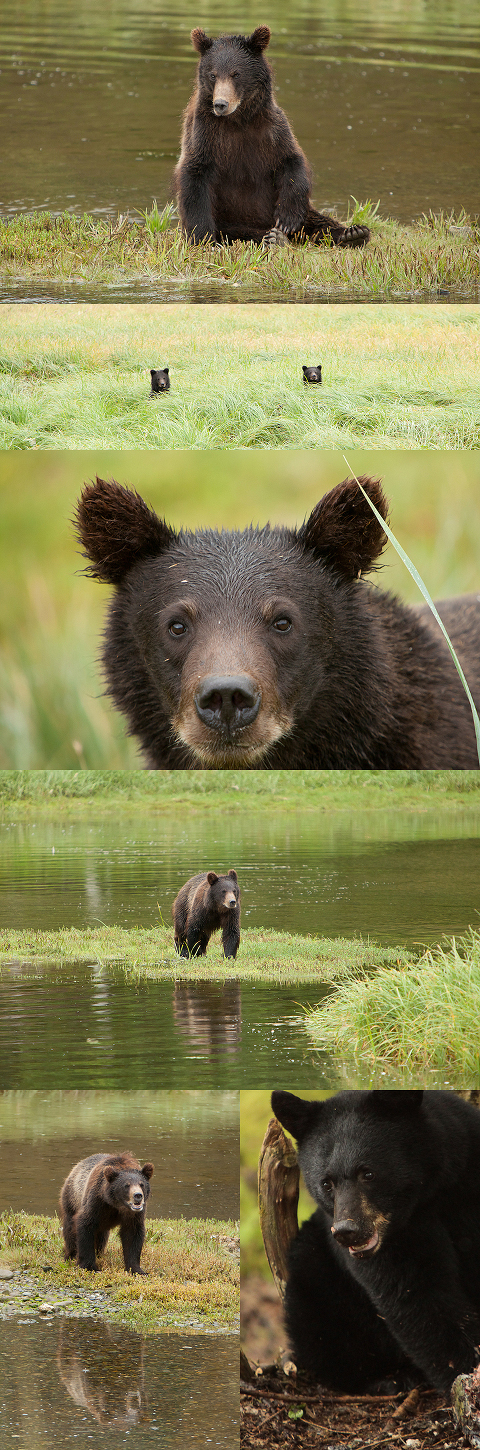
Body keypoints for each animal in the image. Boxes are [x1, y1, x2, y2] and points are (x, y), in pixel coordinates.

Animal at [174, 27, 369, 250]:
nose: (220, 104)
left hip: (302, 214)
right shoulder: (205, 134)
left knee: (318, 222)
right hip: (231, 222)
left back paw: (353, 233)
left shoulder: (271, 129)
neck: (238, 119)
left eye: (236, 73)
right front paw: (203, 238)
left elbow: (291, 161)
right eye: (213, 74)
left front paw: (287, 218)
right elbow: (195, 175)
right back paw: (274, 239)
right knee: (242, 232)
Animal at [271, 1090, 480, 1394]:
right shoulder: (400, 1238)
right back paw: (387, 1379)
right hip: (315, 1269)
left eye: (367, 1173)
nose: (347, 1231)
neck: (430, 1193)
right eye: (326, 1183)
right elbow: (418, 1297)